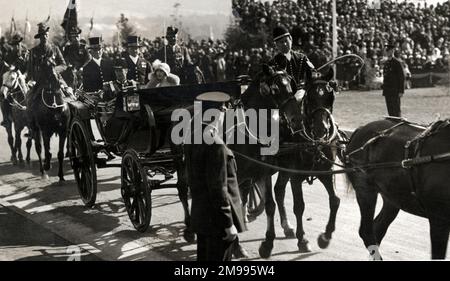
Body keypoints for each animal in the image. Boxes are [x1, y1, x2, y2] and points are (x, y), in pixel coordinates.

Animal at [230, 64, 340, 258]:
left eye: (330, 96)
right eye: (310, 97)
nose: (322, 129)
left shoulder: (326, 172)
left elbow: (334, 200)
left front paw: (325, 237)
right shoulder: (293, 175)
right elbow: (298, 206)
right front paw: (301, 240)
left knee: (276, 191)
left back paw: (286, 226)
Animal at [344, 117, 450, 258]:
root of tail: (361, 129)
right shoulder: (438, 218)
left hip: (392, 197)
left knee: (378, 228)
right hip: (365, 190)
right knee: (366, 232)